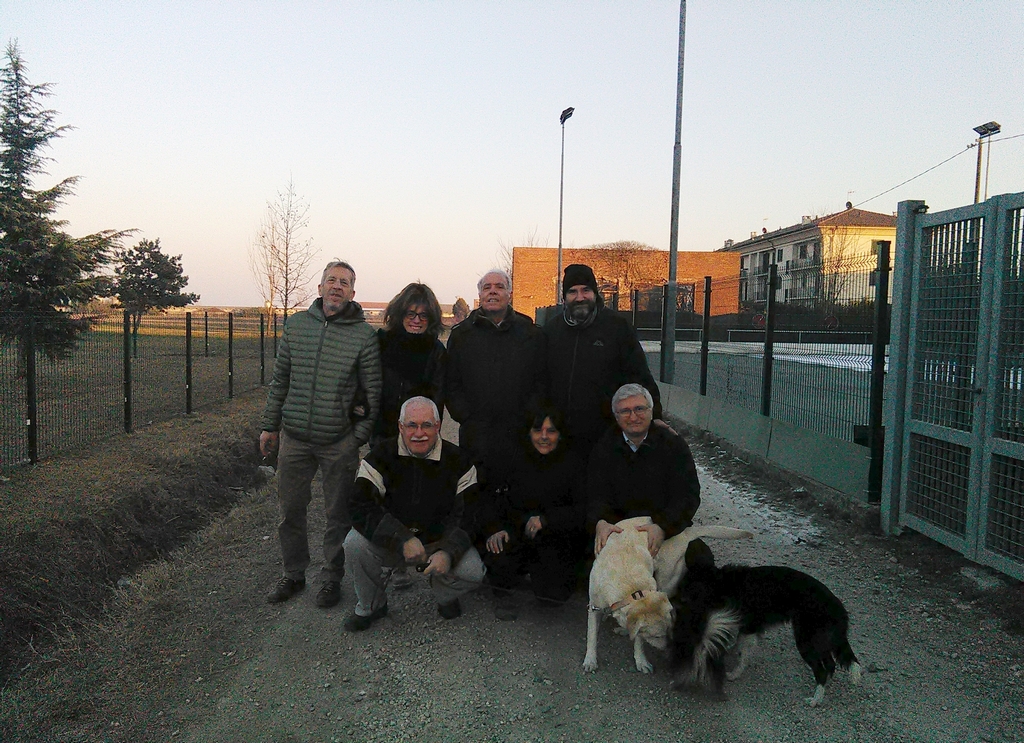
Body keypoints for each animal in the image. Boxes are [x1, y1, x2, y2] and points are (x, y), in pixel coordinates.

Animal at [585, 517, 753, 675]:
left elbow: (639, 639)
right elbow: (592, 636)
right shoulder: (594, 607)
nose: (669, 648)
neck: (630, 585)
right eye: (657, 636)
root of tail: (685, 532)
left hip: (667, 581)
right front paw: (590, 660)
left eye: (669, 630)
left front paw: (641, 660)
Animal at [667, 540, 860, 708]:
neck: (722, 584)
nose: (670, 602)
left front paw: (734, 674)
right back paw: (824, 688)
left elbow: (742, 654)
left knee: (822, 669)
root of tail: (838, 609)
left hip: (806, 640)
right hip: (821, 640)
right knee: (830, 665)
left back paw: (815, 700)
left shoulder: (749, 628)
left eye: (684, 594)